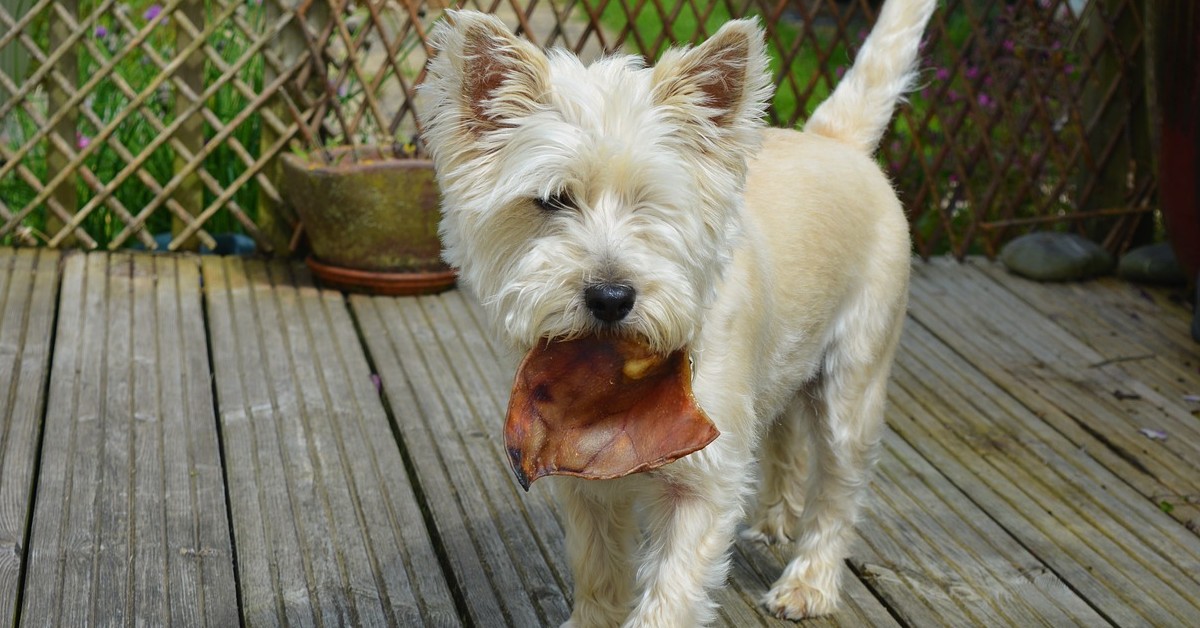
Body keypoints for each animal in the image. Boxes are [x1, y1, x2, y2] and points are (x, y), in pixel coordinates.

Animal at [422, 1, 936, 624]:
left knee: (838, 488)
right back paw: (774, 521)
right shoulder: (585, 480)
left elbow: (670, 591)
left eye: (653, 202)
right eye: (551, 200)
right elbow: (597, 565)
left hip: (852, 382)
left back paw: (807, 584)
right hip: (787, 364)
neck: (622, 381)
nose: (611, 297)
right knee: (786, 437)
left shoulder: (703, 485)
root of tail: (836, 141)